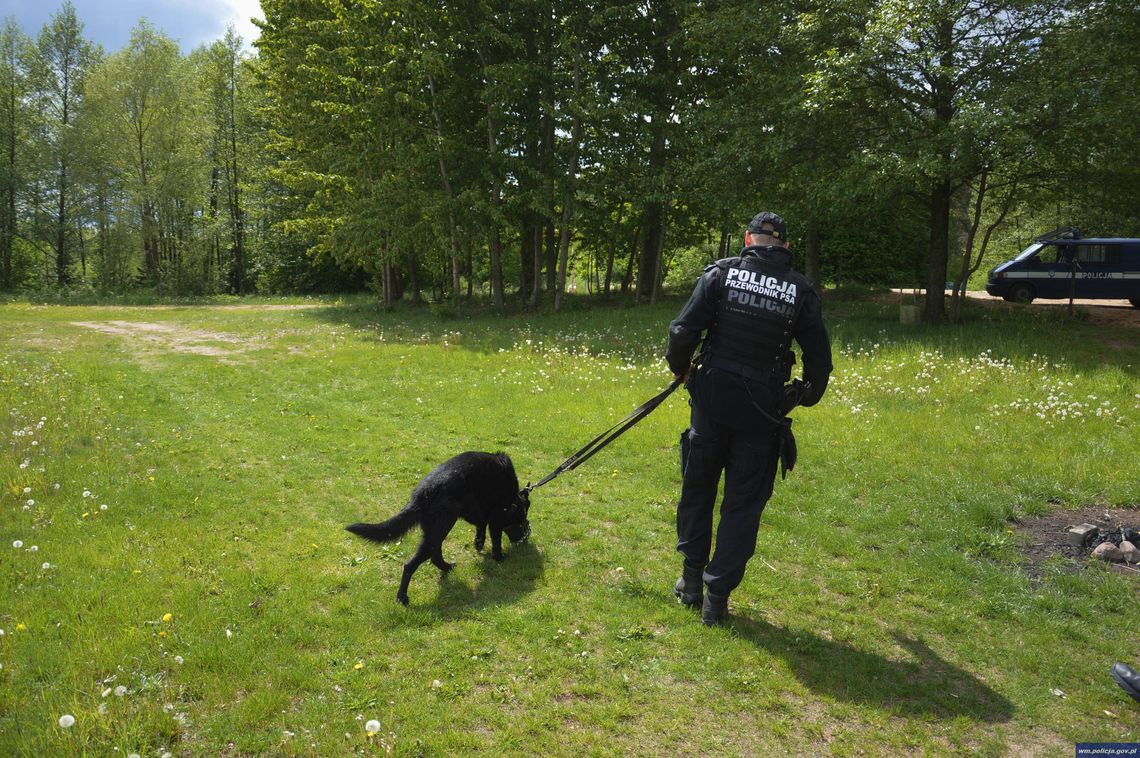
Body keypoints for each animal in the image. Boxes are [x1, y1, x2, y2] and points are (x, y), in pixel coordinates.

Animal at [344, 449, 531, 601]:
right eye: (522, 522)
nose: (524, 539)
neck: (513, 499)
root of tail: (423, 494)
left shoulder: (479, 515)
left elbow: (481, 528)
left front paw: (479, 543)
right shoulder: (496, 519)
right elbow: (496, 540)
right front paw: (499, 557)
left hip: (437, 531)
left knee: (434, 556)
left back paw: (447, 567)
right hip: (441, 528)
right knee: (410, 565)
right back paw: (402, 597)